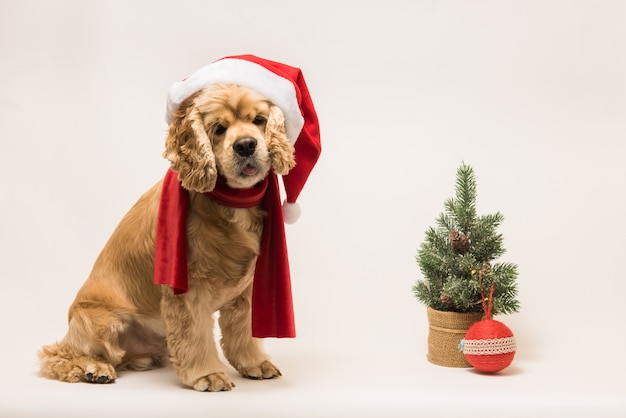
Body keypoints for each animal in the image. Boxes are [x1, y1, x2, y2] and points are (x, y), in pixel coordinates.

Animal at [39, 84, 298, 392]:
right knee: (58, 355)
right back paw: (94, 368)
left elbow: (243, 331)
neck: (232, 203)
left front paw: (254, 363)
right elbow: (195, 336)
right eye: (219, 129)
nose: (246, 145)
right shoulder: (188, 288)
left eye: (259, 119)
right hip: (100, 322)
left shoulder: (247, 289)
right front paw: (207, 375)